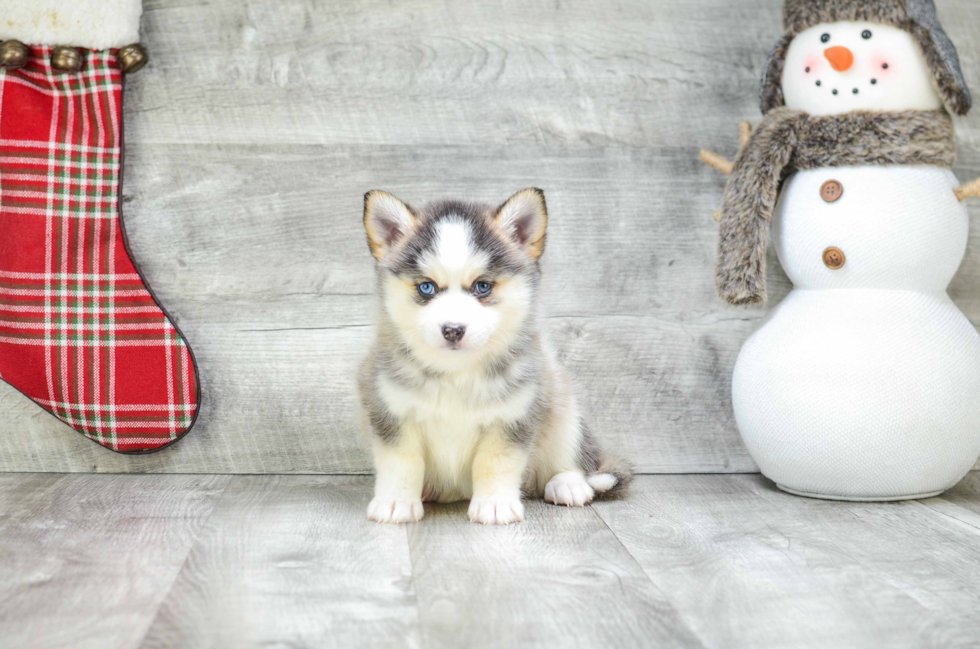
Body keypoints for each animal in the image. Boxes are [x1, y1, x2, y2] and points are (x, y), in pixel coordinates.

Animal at [356, 186, 632, 520]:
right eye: (426, 287)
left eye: (483, 286)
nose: (453, 329)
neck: (456, 372)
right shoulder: (390, 412)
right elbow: (401, 463)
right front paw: (396, 501)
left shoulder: (513, 416)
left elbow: (496, 463)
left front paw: (495, 504)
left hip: (562, 401)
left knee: (569, 456)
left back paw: (568, 484)